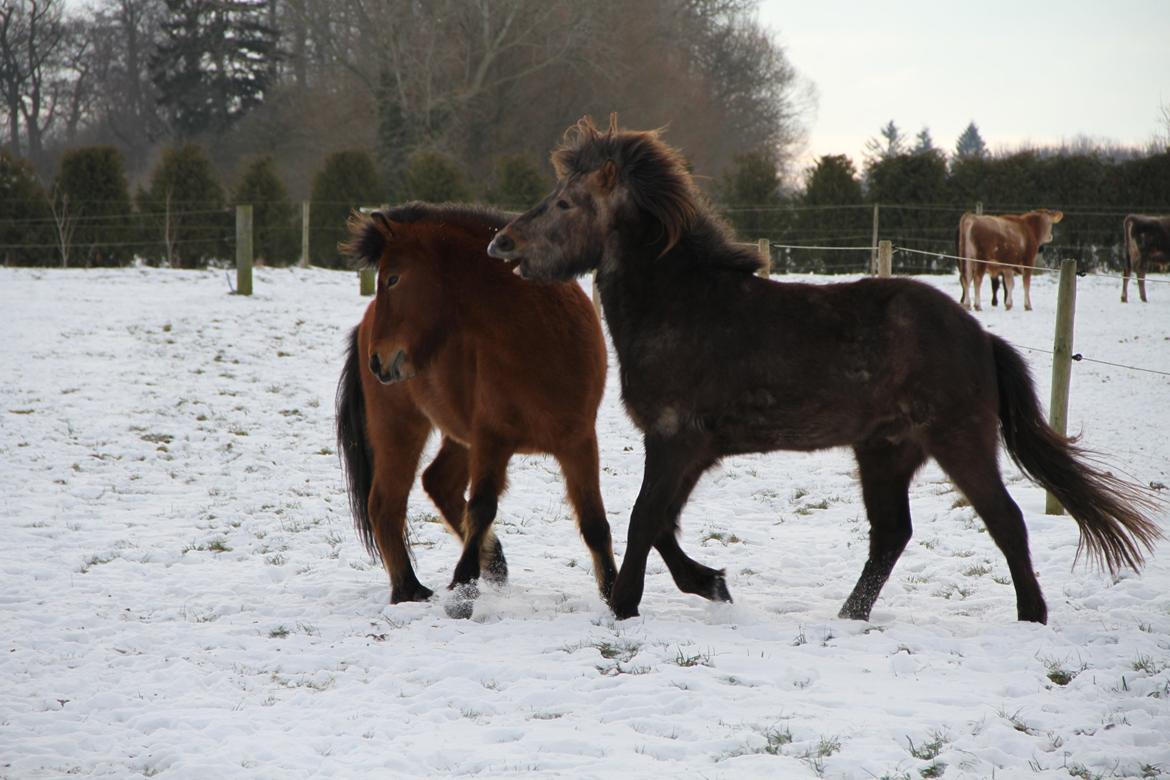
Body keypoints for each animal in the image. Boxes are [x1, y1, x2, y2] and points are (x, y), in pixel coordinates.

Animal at [336, 201, 617, 617]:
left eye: (393, 278)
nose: (378, 361)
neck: (538, 339)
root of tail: (365, 323)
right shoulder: (491, 441)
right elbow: (482, 508)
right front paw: (462, 592)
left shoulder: (579, 442)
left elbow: (595, 521)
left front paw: (616, 593)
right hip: (401, 427)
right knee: (387, 503)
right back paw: (408, 588)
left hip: (458, 436)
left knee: (437, 482)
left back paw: (493, 560)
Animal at [486, 115, 1160, 626]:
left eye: (565, 201)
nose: (502, 245)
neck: (683, 305)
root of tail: (979, 336)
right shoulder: (693, 448)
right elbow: (662, 525)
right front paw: (711, 583)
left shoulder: (676, 439)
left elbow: (644, 520)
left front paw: (625, 605)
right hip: (886, 451)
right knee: (891, 534)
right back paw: (849, 616)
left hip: (959, 440)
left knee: (1005, 521)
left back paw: (1031, 616)